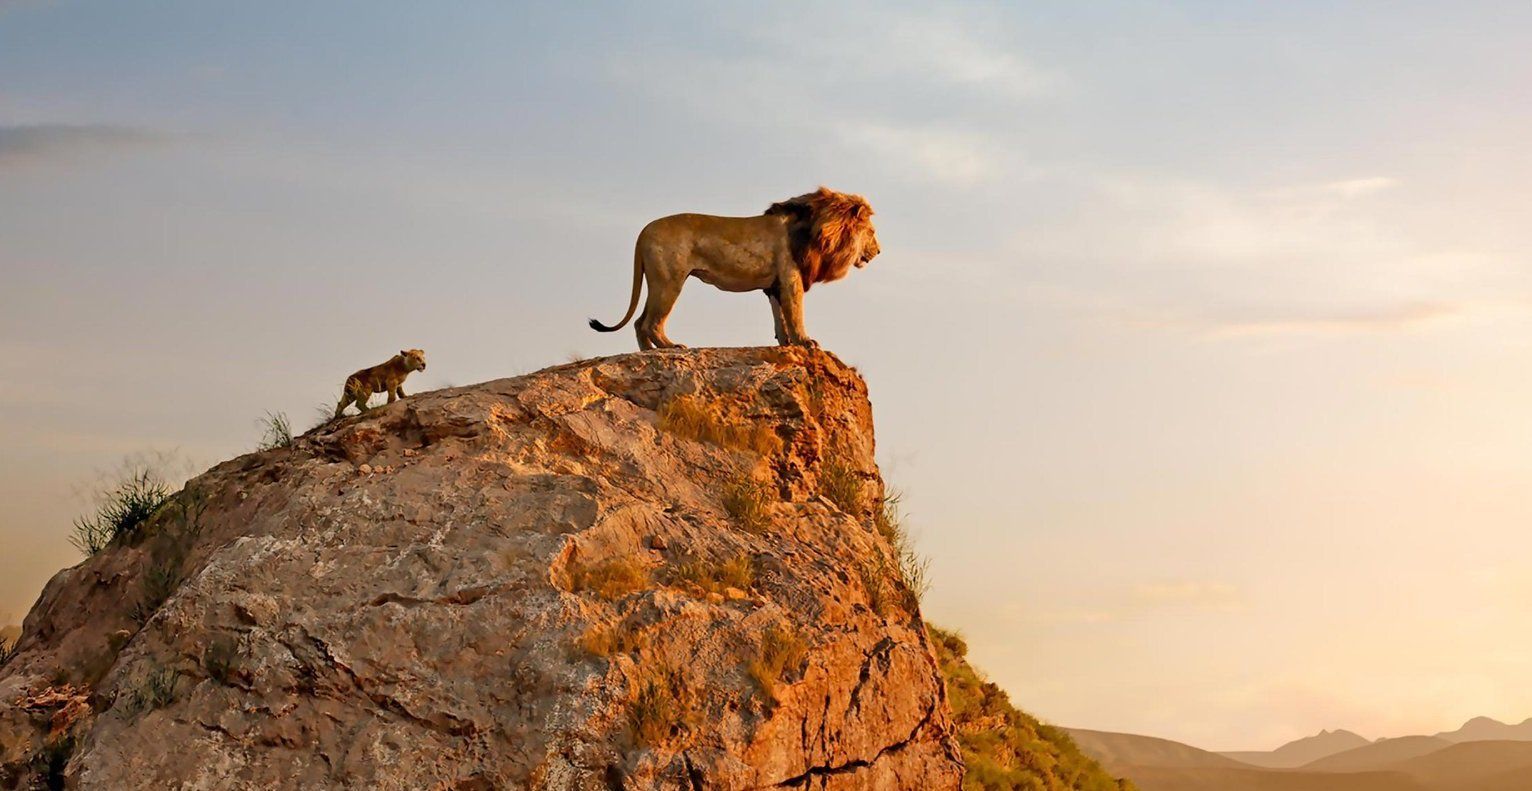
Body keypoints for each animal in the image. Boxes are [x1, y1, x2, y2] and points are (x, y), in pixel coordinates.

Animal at [588, 187, 880, 350]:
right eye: (871, 232)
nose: (878, 251)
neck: (815, 230)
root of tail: (643, 232)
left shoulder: (775, 285)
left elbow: (780, 318)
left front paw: (786, 344)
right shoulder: (791, 278)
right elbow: (795, 315)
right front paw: (805, 342)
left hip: (656, 281)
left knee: (639, 322)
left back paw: (651, 353)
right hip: (670, 281)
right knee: (651, 323)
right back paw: (671, 347)